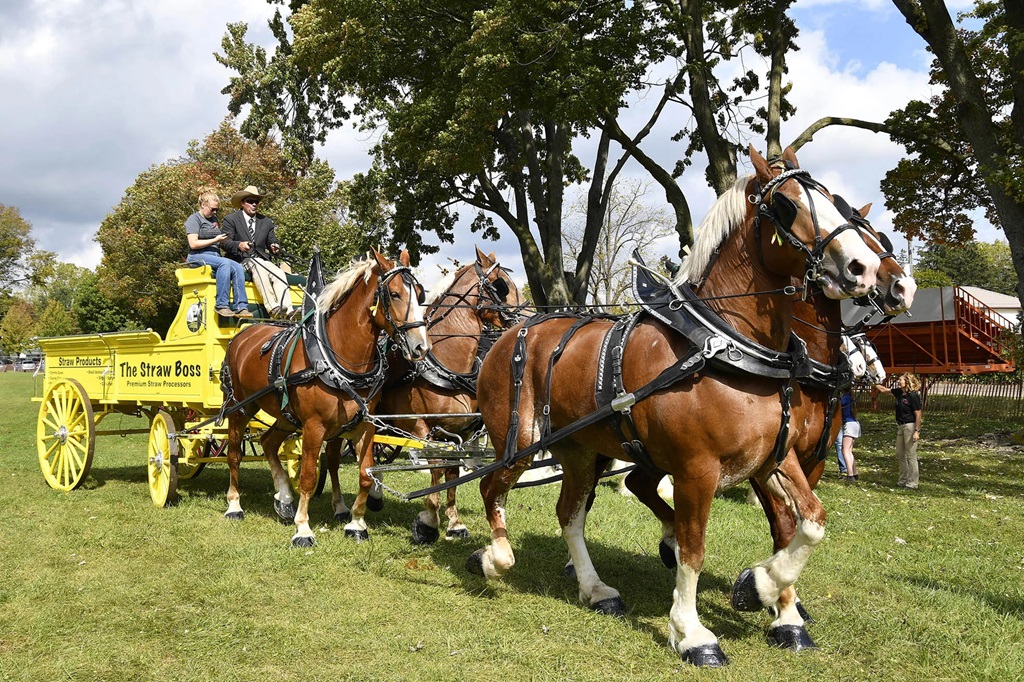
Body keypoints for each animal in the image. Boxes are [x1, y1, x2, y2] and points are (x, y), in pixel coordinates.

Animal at [220, 249, 430, 546]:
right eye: (395, 294)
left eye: (421, 294)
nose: (421, 346)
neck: (338, 358)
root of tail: (242, 335)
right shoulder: (314, 426)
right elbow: (308, 476)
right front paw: (303, 528)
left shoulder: (365, 425)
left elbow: (365, 474)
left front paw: (356, 523)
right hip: (240, 409)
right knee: (235, 454)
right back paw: (235, 505)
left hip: (286, 416)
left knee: (268, 442)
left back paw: (284, 497)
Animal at [320, 247, 524, 543]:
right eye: (502, 285)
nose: (528, 314)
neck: (445, 363)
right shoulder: (420, 428)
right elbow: (437, 467)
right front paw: (429, 520)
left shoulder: (461, 432)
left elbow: (452, 471)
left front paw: (454, 523)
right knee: (335, 459)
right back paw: (342, 507)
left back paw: (374, 496)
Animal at [468, 145, 881, 667]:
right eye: (786, 204)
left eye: (833, 200)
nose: (864, 269)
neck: (724, 345)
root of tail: (508, 335)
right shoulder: (695, 471)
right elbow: (694, 549)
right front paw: (692, 632)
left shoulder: (776, 457)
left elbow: (807, 523)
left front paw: (762, 590)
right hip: (519, 441)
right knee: (492, 490)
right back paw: (493, 559)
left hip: (582, 452)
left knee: (569, 513)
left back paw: (596, 589)